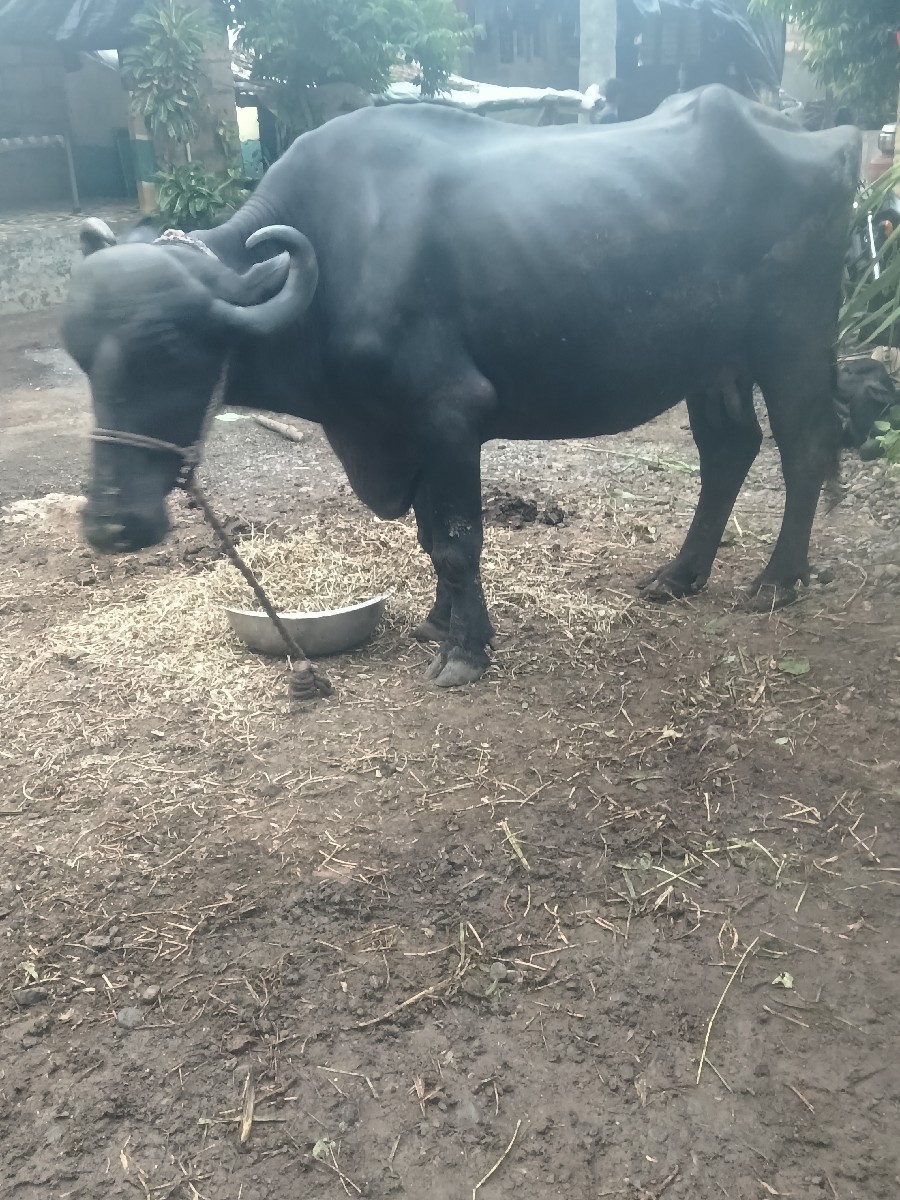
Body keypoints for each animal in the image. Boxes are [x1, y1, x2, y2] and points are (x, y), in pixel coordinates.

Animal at [62, 85, 860, 688]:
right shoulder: (401, 432)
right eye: (81, 355)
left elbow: (455, 540)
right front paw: (438, 622)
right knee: (730, 447)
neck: (337, 268)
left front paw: (466, 650)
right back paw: (681, 574)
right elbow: (426, 534)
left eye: (170, 352)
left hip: (792, 337)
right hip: (713, 358)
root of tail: (828, 139)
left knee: (805, 445)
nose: (111, 524)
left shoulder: (448, 415)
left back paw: (778, 580)